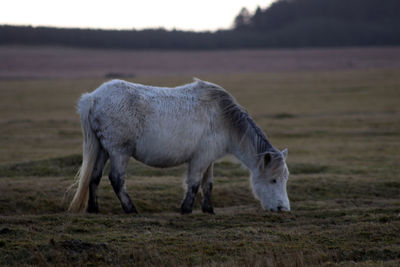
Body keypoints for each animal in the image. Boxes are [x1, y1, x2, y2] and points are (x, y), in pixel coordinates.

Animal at [69, 78, 290, 215]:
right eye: (273, 180)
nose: (283, 209)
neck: (223, 117)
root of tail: (93, 98)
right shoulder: (200, 159)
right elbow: (193, 183)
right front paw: (186, 209)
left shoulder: (208, 159)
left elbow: (207, 184)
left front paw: (208, 209)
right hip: (119, 152)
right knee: (116, 179)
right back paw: (131, 209)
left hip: (102, 150)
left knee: (94, 177)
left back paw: (94, 209)